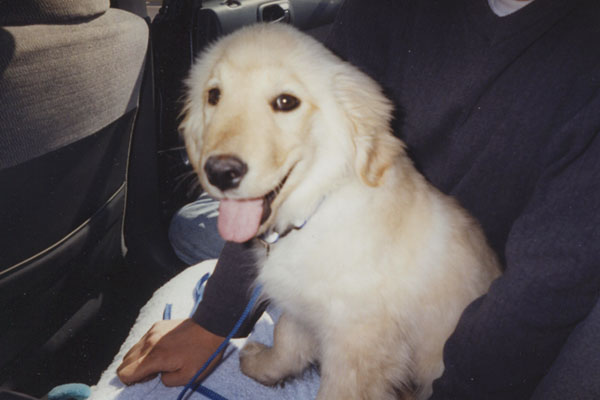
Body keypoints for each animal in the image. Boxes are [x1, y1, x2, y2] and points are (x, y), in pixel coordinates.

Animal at [180, 22, 500, 400]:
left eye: (286, 102)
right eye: (214, 95)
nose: (219, 172)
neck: (315, 208)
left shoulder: (358, 343)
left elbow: (337, 386)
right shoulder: (303, 306)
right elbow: (286, 335)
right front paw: (267, 367)